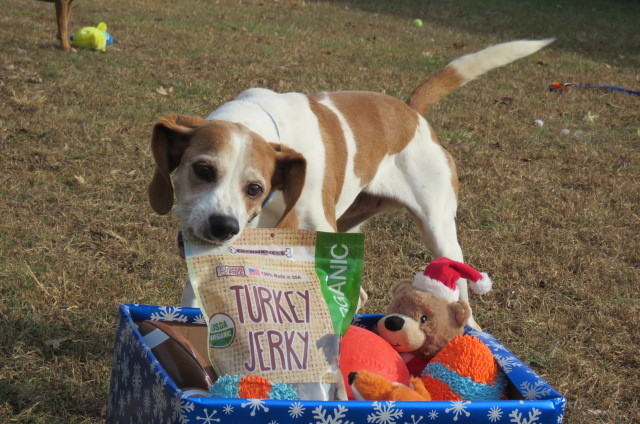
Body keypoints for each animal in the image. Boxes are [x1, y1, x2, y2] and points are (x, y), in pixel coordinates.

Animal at [148, 39, 552, 324]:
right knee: (359, 296)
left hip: (438, 231)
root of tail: (412, 113)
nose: (222, 226)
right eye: (202, 170)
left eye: (254, 189)